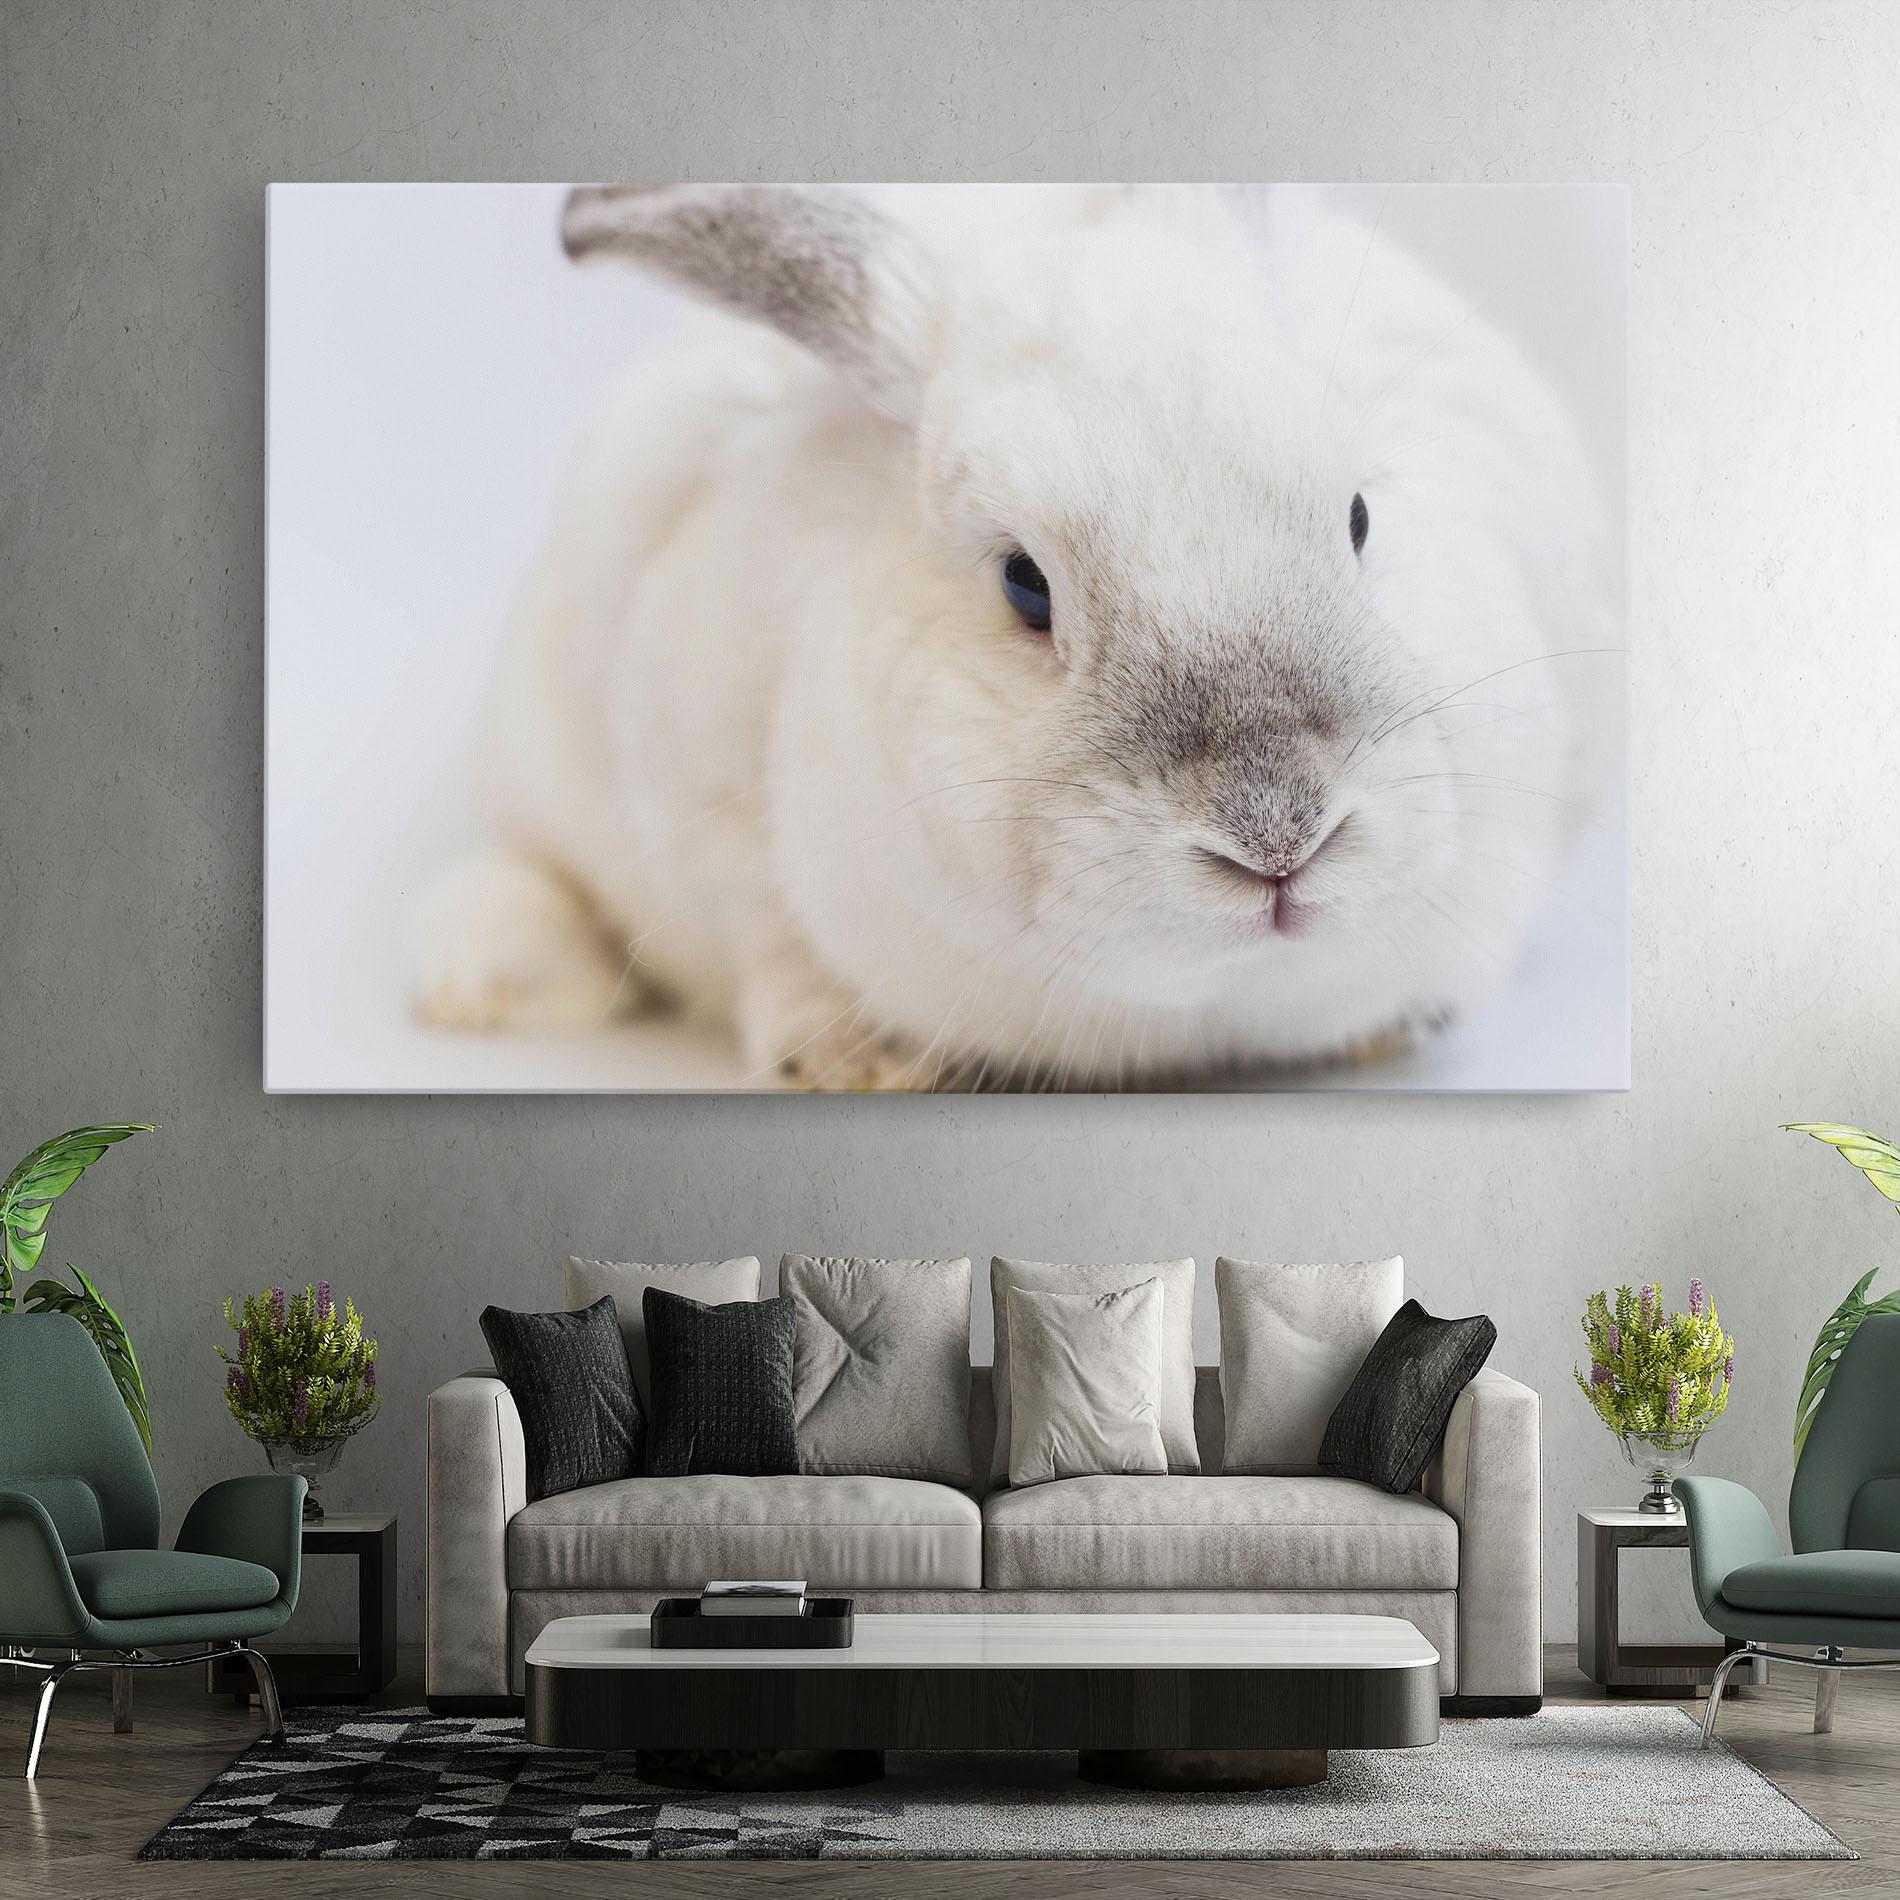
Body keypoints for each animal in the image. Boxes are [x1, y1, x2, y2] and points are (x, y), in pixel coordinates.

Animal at [406, 184, 1618, 1090]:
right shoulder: (701, 802)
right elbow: (770, 943)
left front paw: (1391, 1027)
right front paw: (856, 1058)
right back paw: (480, 983)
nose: (1278, 835)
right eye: (1024, 585)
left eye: (1360, 516)